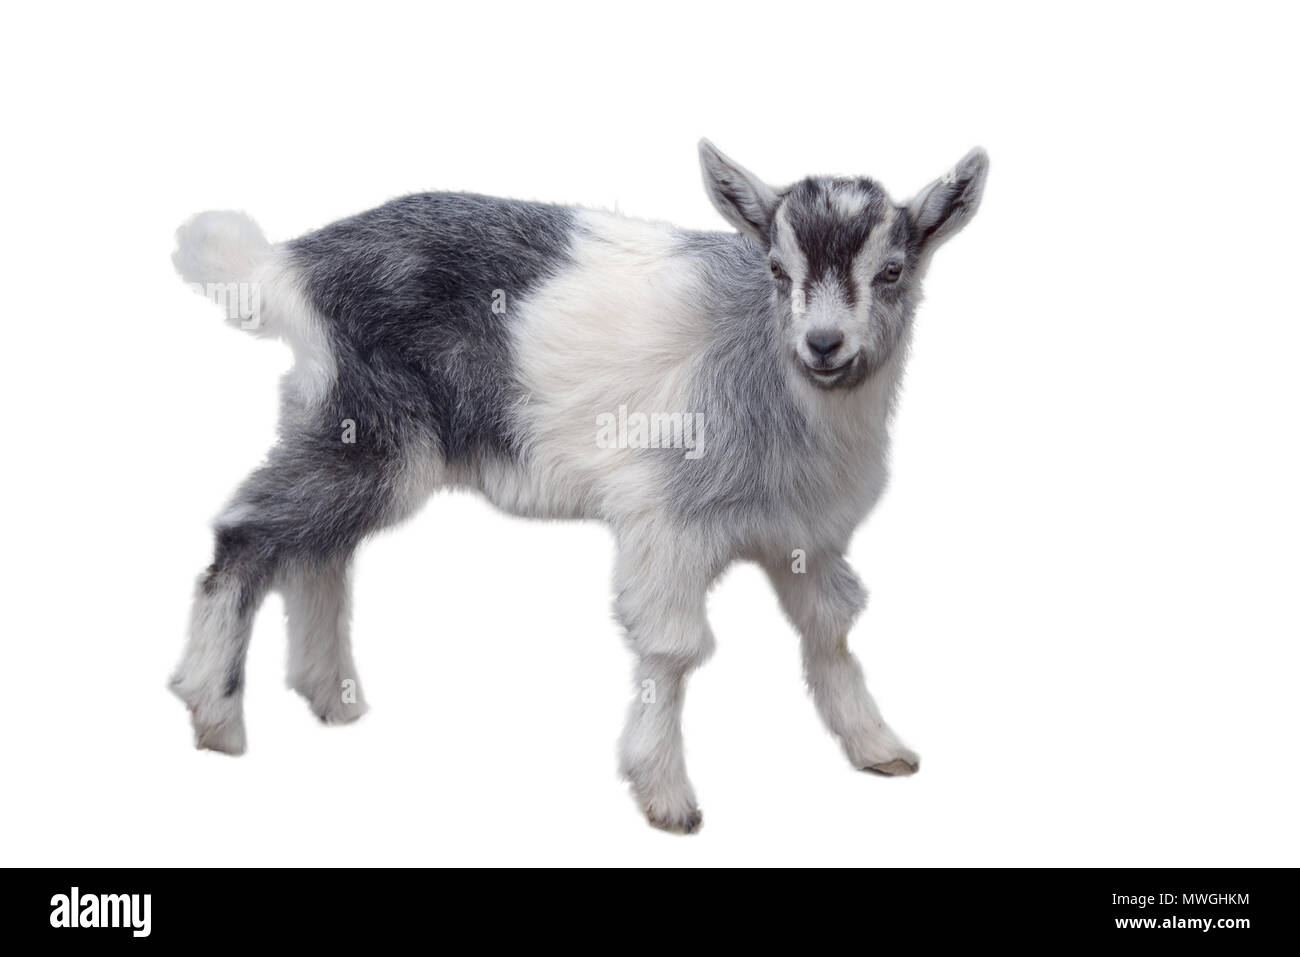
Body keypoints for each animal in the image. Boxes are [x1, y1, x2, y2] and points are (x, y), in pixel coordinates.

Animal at [170, 140, 989, 833]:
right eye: (778, 271)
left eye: (892, 271)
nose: (824, 344)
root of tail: (288, 268)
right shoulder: (669, 519)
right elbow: (674, 648)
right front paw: (666, 797)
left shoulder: (804, 534)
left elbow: (831, 628)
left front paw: (878, 746)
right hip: (371, 437)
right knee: (247, 532)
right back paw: (215, 712)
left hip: (344, 431)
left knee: (320, 552)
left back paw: (330, 696)